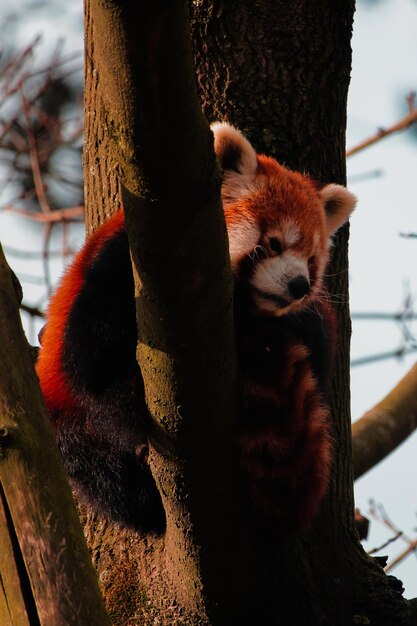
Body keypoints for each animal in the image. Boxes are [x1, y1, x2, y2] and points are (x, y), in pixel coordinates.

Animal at [35, 122, 354, 532]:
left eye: (312, 261)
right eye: (273, 243)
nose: (299, 285)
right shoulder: (120, 269)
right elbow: (93, 364)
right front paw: (132, 424)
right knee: (90, 464)